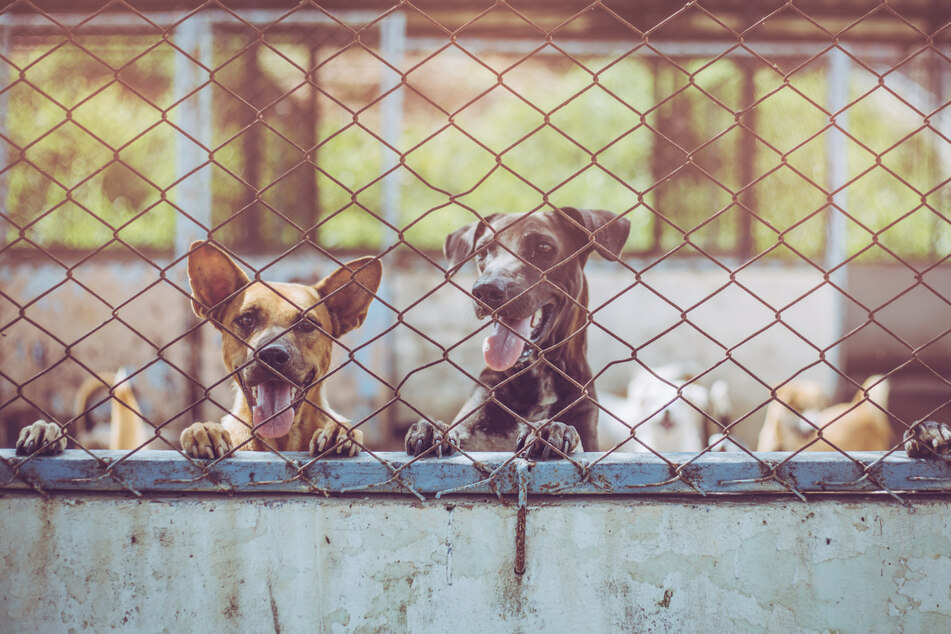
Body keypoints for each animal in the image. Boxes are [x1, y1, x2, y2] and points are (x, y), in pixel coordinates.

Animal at [180, 239, 382, 456]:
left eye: (307, 324)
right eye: (247, 319)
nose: (272, 355)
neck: (282, 438)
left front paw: (339, 432)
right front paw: (204, 429)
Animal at [406, 207, 628, 460]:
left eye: (544, 247)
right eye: (482, 251)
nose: (486, 290)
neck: (536, 377)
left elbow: (577, 440)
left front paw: (555, 429)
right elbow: (458, 433)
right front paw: (434, 428)